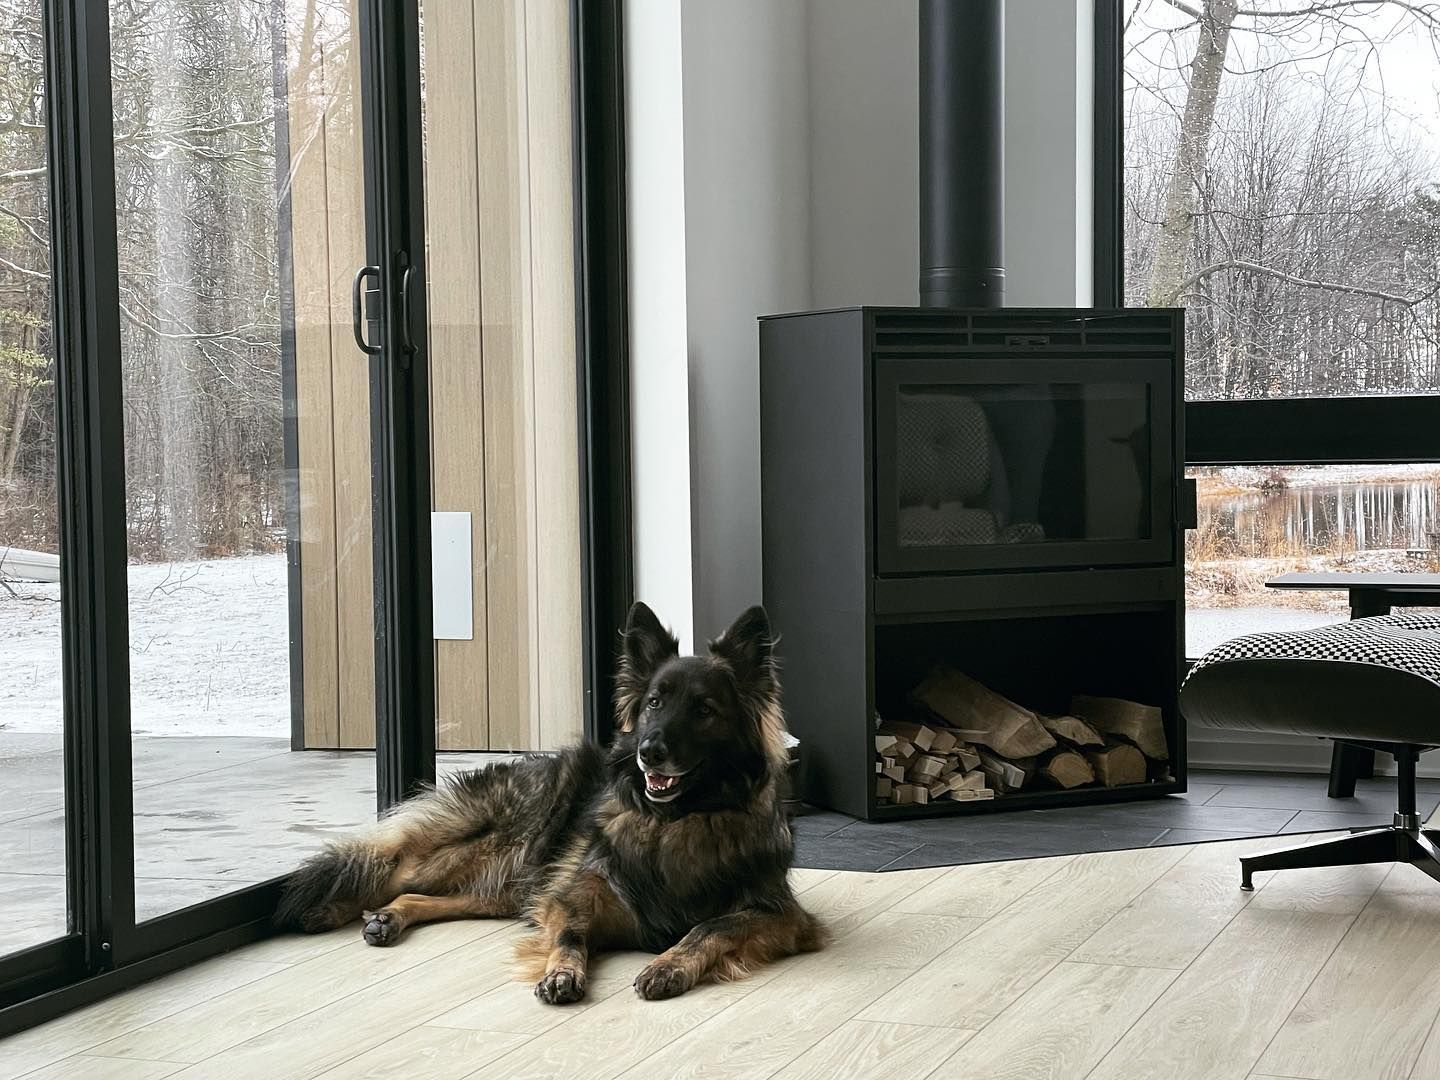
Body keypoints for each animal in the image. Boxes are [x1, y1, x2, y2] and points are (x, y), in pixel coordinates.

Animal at [275, 601, 829, 1008]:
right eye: (654, 702)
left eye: (704, 710)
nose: (649, 751)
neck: (675, 822)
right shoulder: (571, 895)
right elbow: (569, 936)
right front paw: (562, 974)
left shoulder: (779, 914)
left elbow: (711, 926)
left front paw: (668, 964)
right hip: (503, 851)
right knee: (392, 869)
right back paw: (330, 909)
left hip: (511, 884)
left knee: (420, 894)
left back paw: (387, 918)